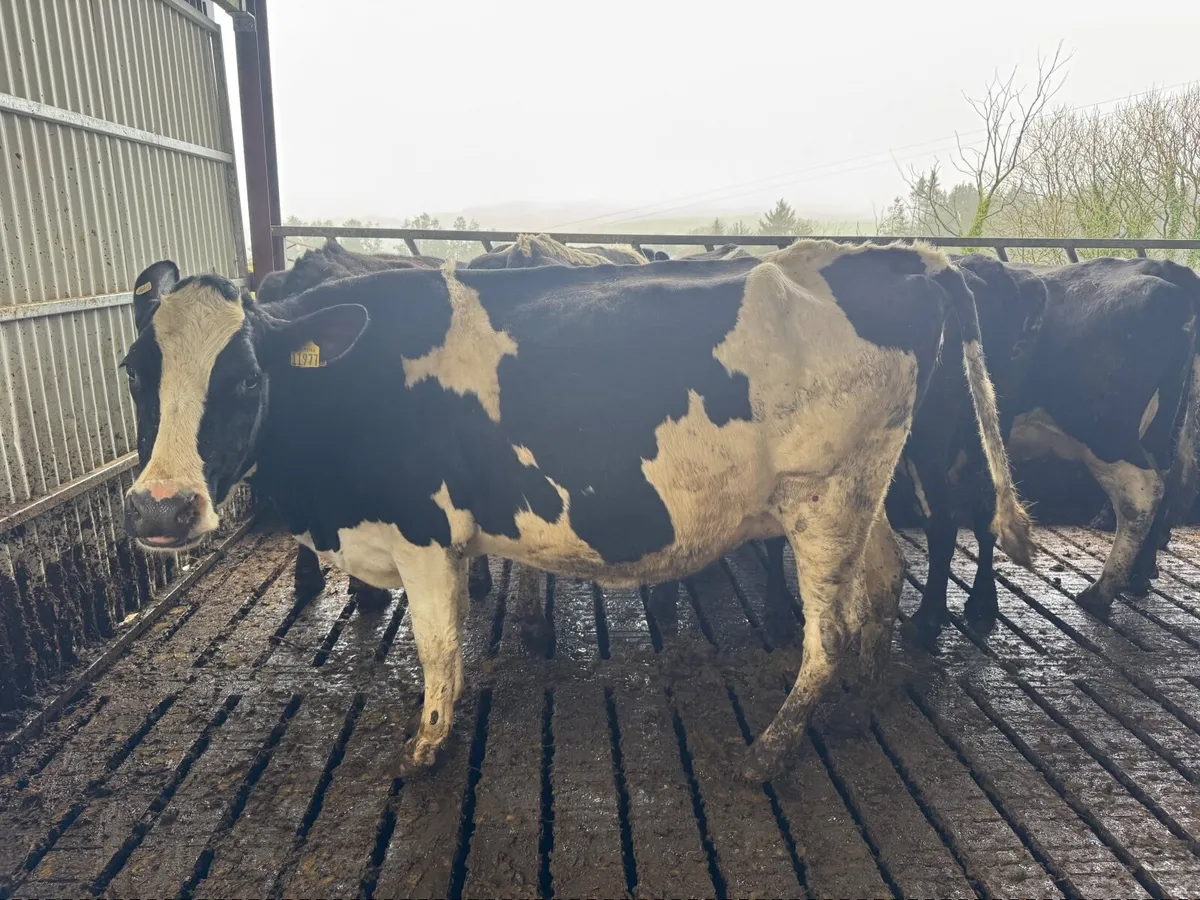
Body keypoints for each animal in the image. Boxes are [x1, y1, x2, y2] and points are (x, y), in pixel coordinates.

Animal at [119, 239, 1033, 781]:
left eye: (246, 377)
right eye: (135, 372)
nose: (161, 510)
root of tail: (894, 256)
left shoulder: (425, 535)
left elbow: (438, 647)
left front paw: (427, 746)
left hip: (823, 492)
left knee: (831, 629)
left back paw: (772, 749)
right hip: (855, 489)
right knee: (884, 576)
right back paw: (857, 708)